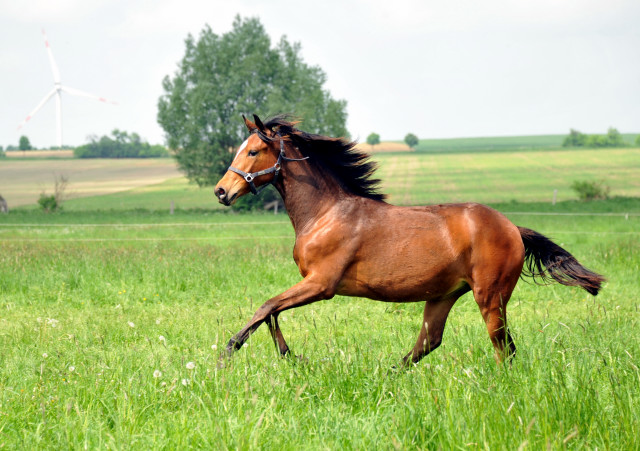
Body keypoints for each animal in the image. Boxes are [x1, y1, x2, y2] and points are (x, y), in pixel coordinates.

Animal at [215, 115, 604, 366]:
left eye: (252, 151)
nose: (221, 191)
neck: (325, 213)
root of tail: (512, 229)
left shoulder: (321, 284)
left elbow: (266, 307)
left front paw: (227, 352)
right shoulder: (312, 284)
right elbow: (271, 311)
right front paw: (289, 356)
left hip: (490, 296)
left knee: (502, 347)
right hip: (443, 296)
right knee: (428, 343)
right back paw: (387, 374)